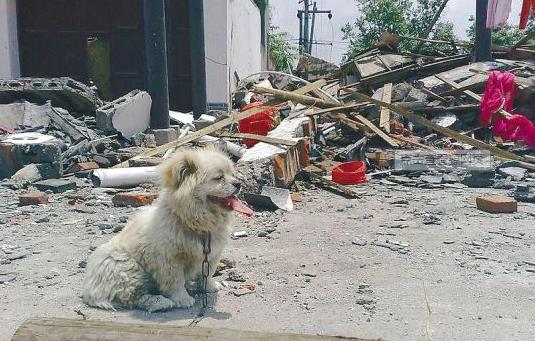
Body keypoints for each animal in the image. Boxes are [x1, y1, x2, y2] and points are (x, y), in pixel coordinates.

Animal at [82, 146, 253, 310]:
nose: (238, 184)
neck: (197, 224)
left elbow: (208, 274)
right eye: (218, 178)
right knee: (134, 296)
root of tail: (91, 290)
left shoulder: (211, 254)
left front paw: (210, 287)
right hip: (128, 267)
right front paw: (182, 299)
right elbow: (176, 281)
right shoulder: (170, 259)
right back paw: (161, 303)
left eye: (232, 174)